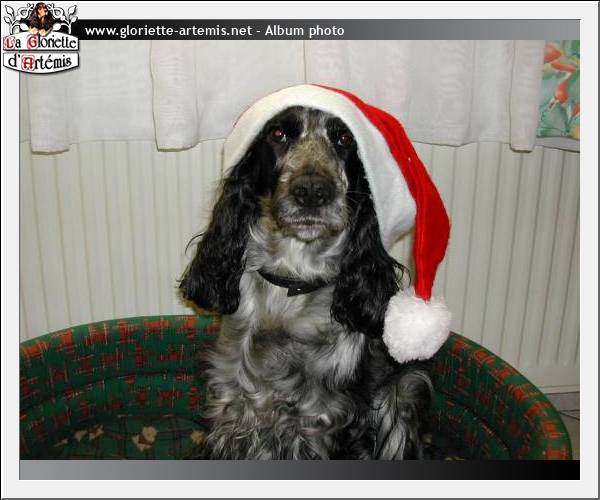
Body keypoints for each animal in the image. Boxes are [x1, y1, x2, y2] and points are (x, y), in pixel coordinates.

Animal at [179, 106, 433, 460]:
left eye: (344, 139)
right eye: (277, 134)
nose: (312, 191)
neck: (291, 284)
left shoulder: (322, 423)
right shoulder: (233, 406)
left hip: (404, 391)